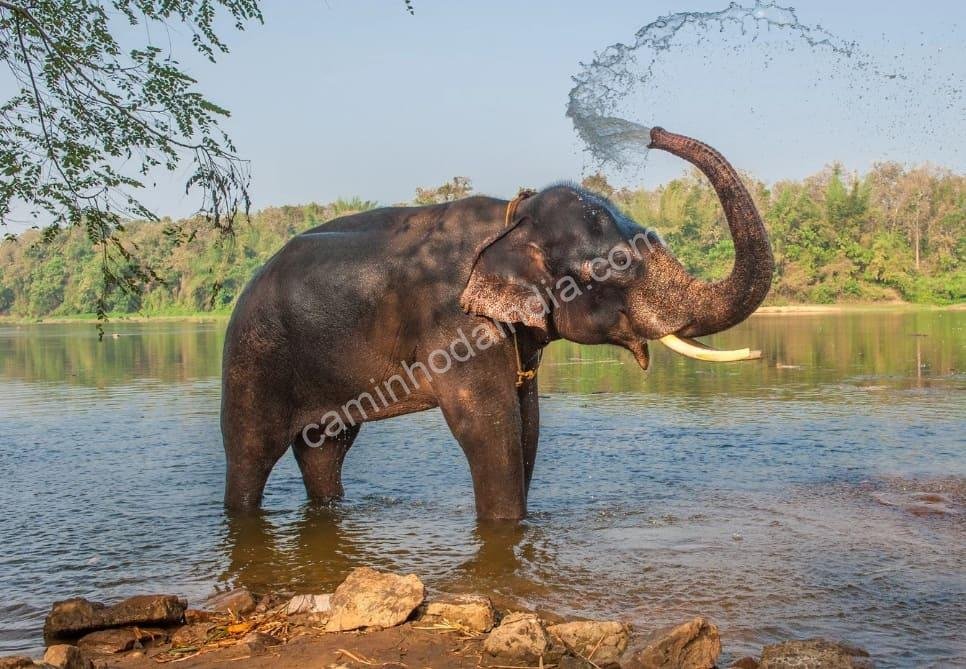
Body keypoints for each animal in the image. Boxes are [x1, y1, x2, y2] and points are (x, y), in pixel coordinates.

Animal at [221, 127, 774, 520]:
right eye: (612, 266)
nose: (654, 133)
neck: (513, 218)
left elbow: (528, 422)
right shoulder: (455, 325)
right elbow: (488, 427)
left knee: (325, 448)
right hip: (253, 355)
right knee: (250, 452)